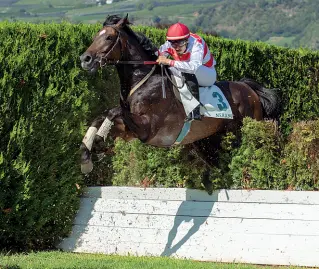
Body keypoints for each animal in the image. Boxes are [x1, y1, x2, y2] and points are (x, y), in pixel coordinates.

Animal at [79, 14, 280, 192]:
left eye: (109, 37)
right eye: (95, 36)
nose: (85, 59)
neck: (142, 80)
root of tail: (249, 88)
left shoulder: (146, 129)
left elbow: (114, 111)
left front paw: (99, 138)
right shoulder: (130, 131)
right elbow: (101, 117)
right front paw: (86, 155)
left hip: (242, 134)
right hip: (209, 142)